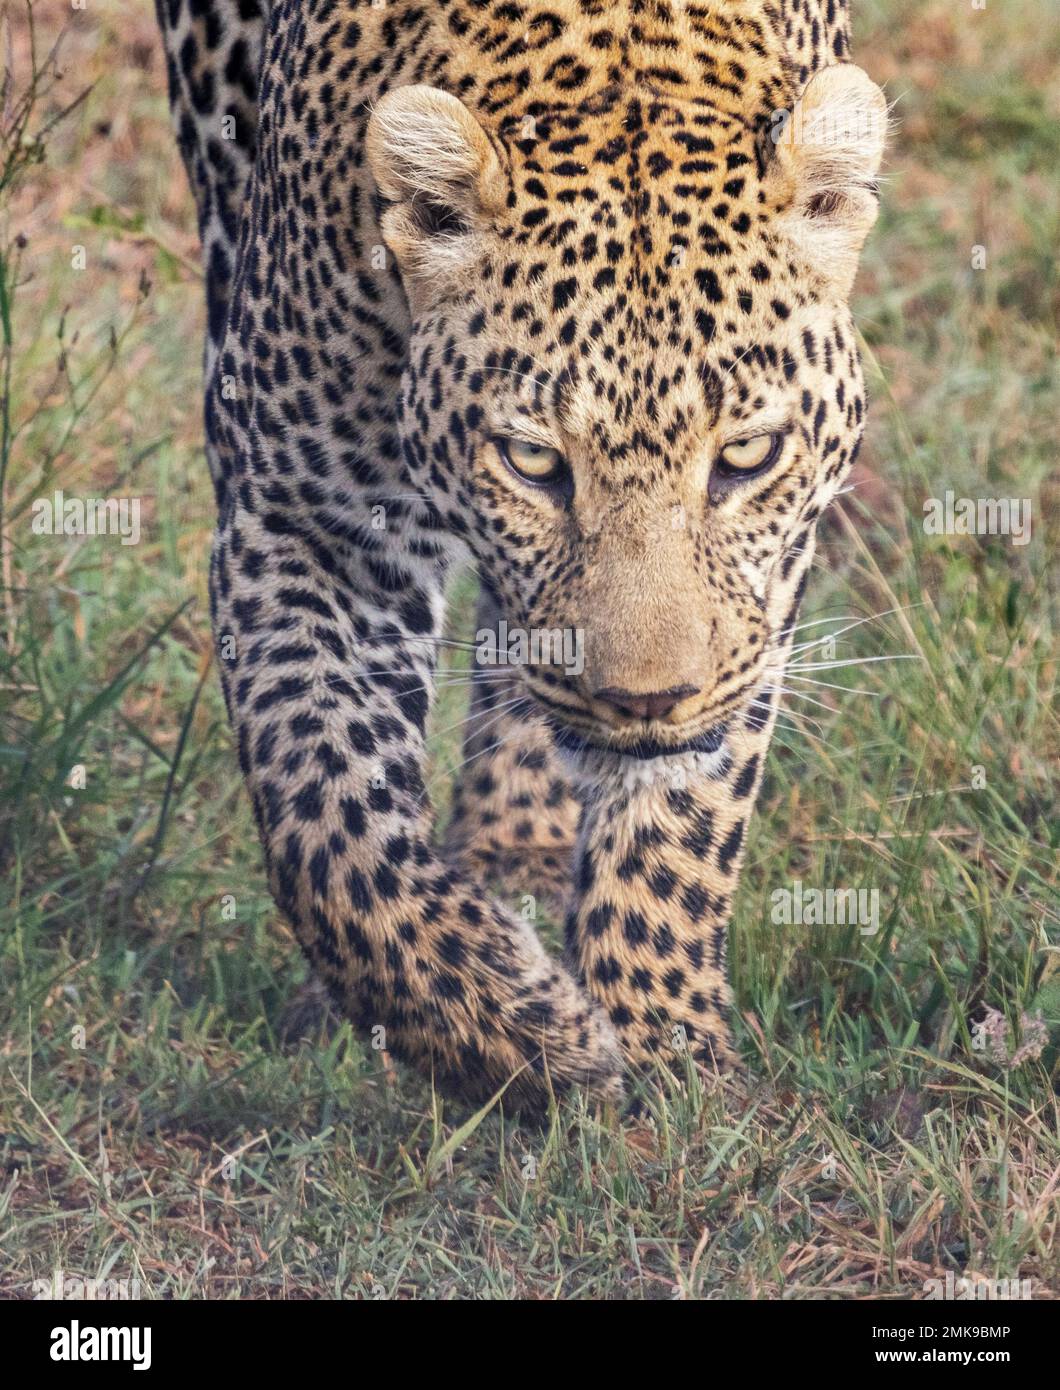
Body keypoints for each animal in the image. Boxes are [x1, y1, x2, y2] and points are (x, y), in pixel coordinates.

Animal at [155, 0, 886, 1107]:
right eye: (534, 462)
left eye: (745, 456)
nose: (643, 702)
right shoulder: (306, 523)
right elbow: (326, 818)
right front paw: (514, 1031)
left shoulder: (773, 571)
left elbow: (685, 820)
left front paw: (662, 1045)